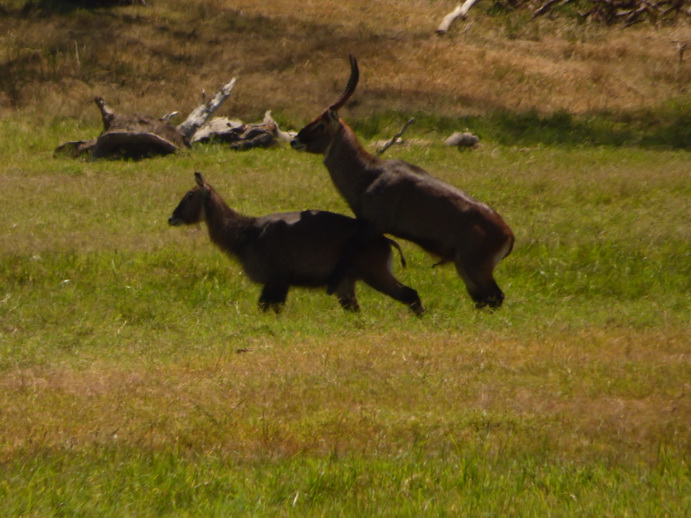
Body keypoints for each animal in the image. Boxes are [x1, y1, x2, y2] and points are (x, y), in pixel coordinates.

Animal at [170, 173, 424, 314]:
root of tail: (385, 240)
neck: (247, 233)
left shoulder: (278, 278)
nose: (171, 218)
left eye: (190, 195)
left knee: (410, 294)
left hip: (375, 274)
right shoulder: (275, 282)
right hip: (346, 283)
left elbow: (268, 308)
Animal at [292, 57, 512, 308]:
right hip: (465, 269)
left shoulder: (372, 226)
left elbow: (347, 252)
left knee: (496, 297)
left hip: (475, 268)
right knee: (483, 299)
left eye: (320, 125)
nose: (294, 140)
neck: (371, 173)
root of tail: (508, 235)